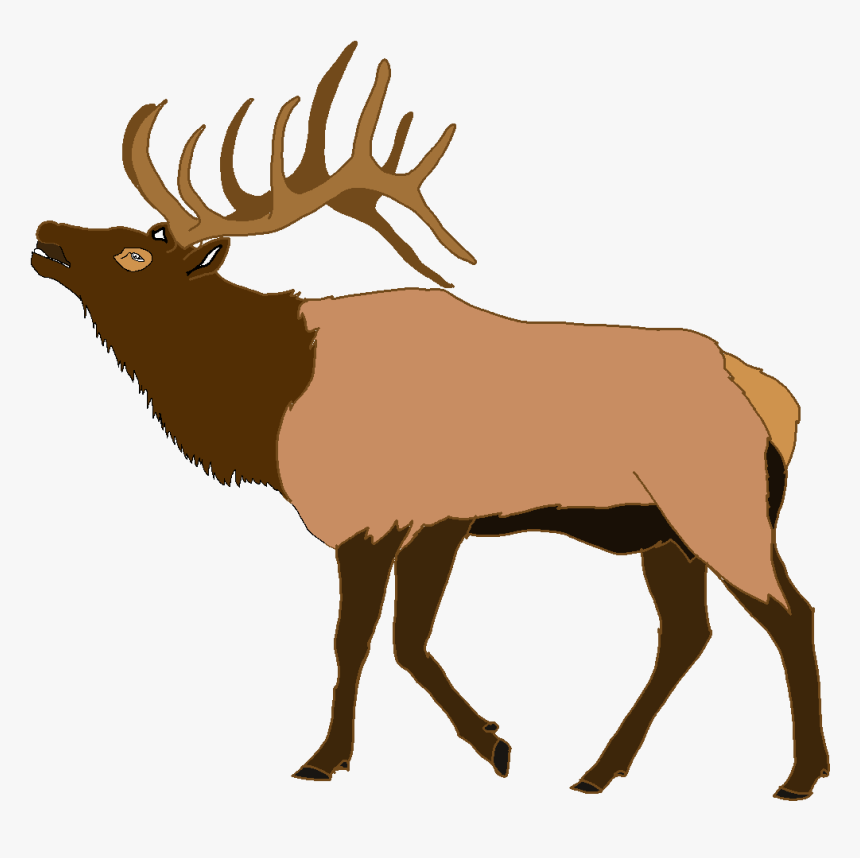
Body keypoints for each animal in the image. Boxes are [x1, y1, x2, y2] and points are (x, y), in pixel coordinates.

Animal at [30, 42, 828, 801]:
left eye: (135, 252)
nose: (45, 227)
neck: (270, 403)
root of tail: (774, 398)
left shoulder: (395, 518)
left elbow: (367, 642)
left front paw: (345, 757)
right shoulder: (424, 524)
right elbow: (398, 643)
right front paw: (489, 740)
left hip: (718, 504)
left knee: (792, 612)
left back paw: (799, 775)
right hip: (662, 531)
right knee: (687, 635)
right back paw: (600, 769)